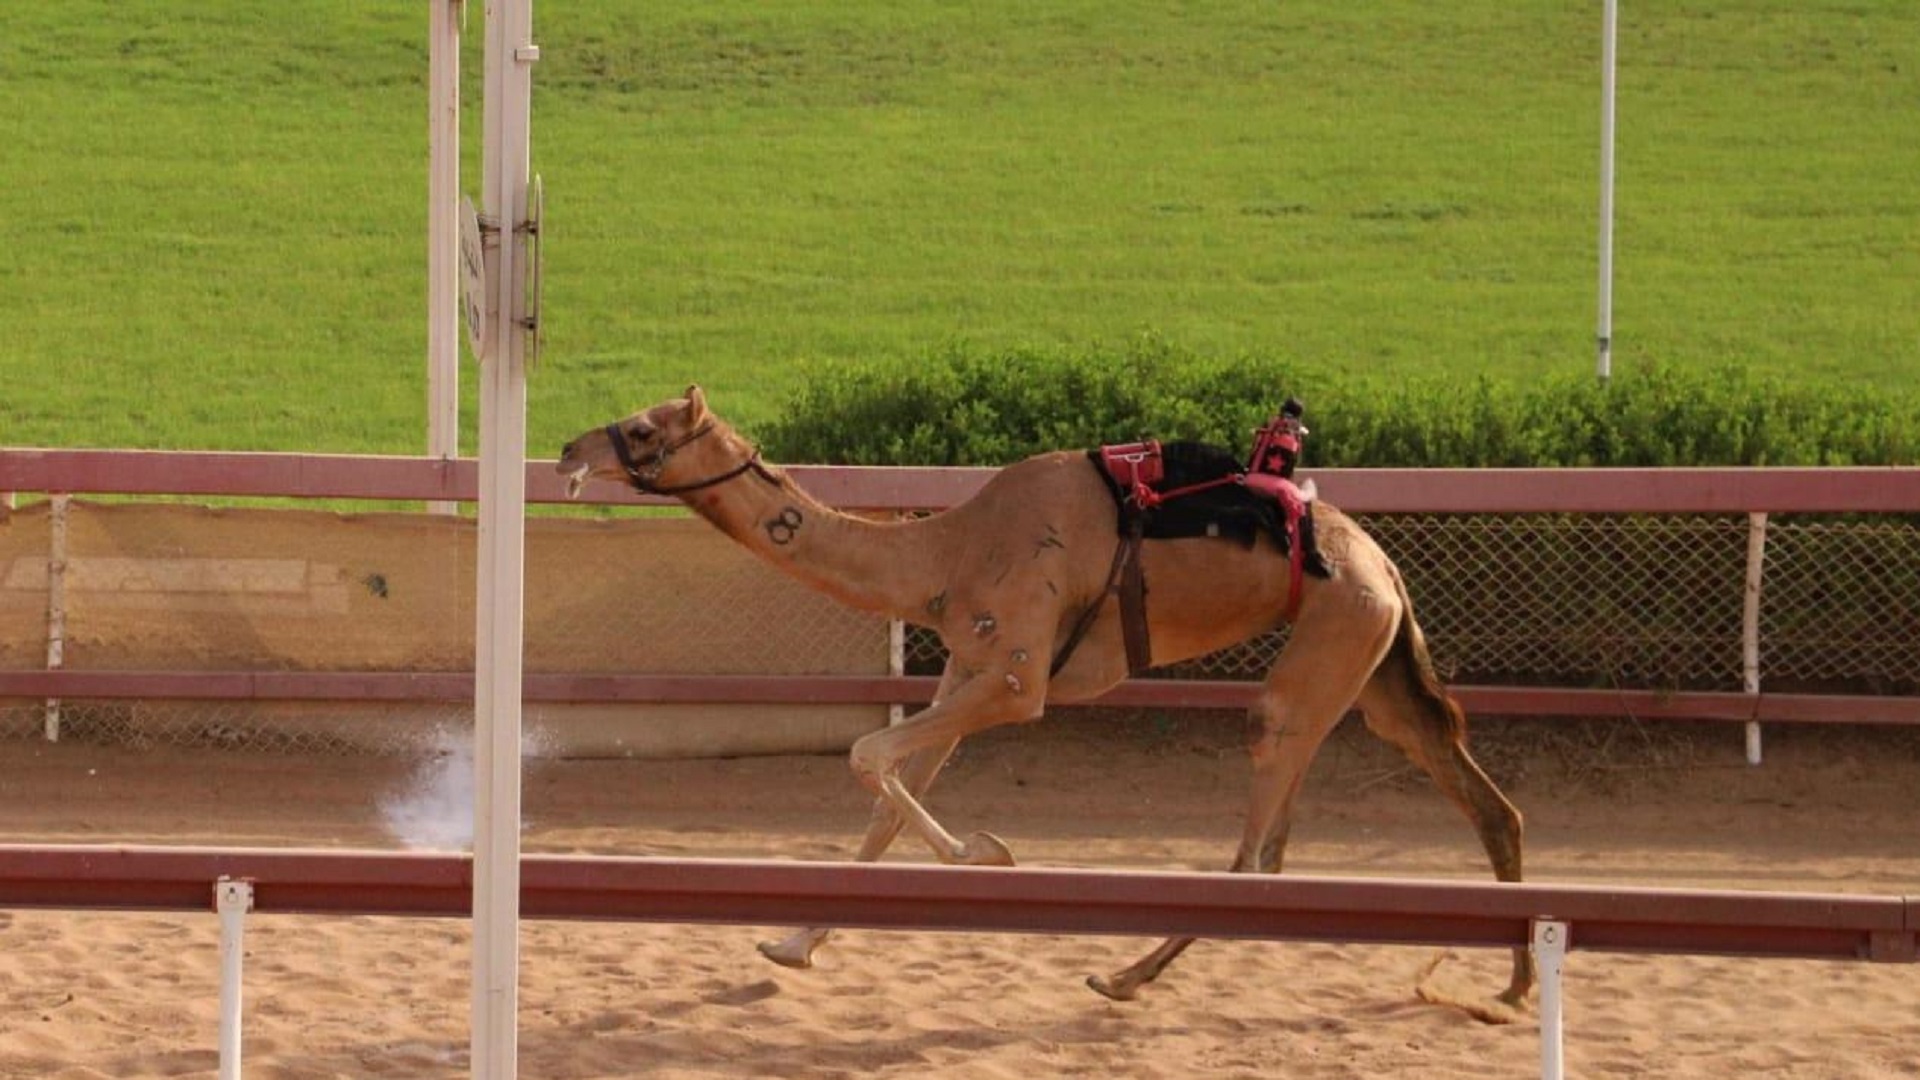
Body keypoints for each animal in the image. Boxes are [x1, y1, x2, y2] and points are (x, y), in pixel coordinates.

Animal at [556, 384, 1528, 1006]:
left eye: (642, 428)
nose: (567, 447)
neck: (944, 554)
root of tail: (1386, 565)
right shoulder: (965, 663)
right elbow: (890, 787)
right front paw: (792, 943)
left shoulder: (1020, 675)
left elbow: (869, 754)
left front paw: (984, 855)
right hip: (1378, 667)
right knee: (1479, 802)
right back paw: (1513, 984)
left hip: (1333, 639)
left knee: (1263, 826)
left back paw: (1122, 976)